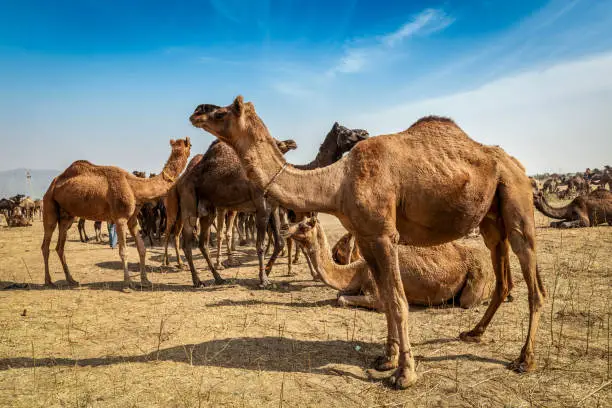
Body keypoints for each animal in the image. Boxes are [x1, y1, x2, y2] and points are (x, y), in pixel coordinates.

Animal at [41, 137, 190, 286]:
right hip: (49, 204)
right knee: (46, 243)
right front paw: (128, 283)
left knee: (60, 246)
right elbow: (123, 251)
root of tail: (53, 184)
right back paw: (48, 281)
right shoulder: (120, 218)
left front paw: (145, 280)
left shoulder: (132, 219)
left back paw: (71, 279)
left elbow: (142, 248)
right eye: (190, 145)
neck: (134, 186)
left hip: (67, 216)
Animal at [190, 97, 544, 390]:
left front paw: (405, 374)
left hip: (517, 202)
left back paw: (525, 360)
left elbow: (398, 301)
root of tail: (518, 166)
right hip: (491, 219)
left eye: (221, 112)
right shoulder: (366, 235)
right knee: (502, 276)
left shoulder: (386, 235)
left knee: (533, 280)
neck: (337, 182)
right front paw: (386, 359)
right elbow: (385, 298)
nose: (196, 112)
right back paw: (473, 333)